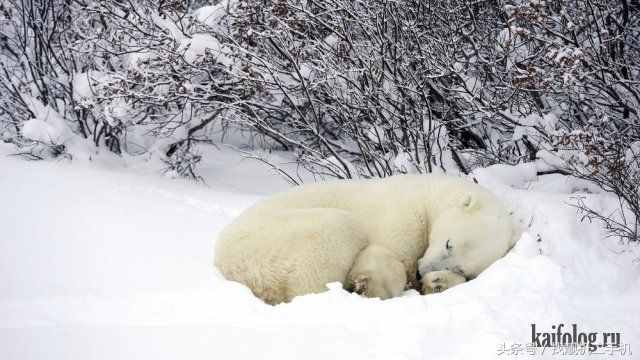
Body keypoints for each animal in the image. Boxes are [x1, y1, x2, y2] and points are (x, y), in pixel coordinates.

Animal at [214, 174, 516, 304]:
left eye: (461, 266)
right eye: (448, 242)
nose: (422, 271)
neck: (428, 194)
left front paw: (437, 282)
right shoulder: (402, 216)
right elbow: (388, 254)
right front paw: (372, 283)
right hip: (279, 240)